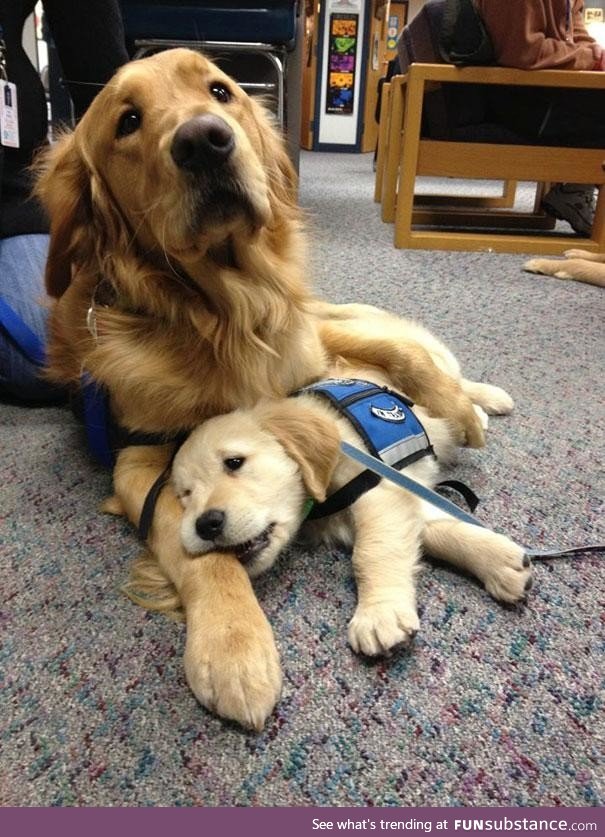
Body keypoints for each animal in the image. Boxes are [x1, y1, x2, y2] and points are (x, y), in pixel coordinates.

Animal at [170, 360, 528, 668]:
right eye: (185, 495)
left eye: (234, 462)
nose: (206, 524)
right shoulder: (393, 501)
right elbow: (434, 531)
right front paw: (501, 561)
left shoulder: (378, 488)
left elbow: (371, 552)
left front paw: (379, 614)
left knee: (453, 384)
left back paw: (489, 402)